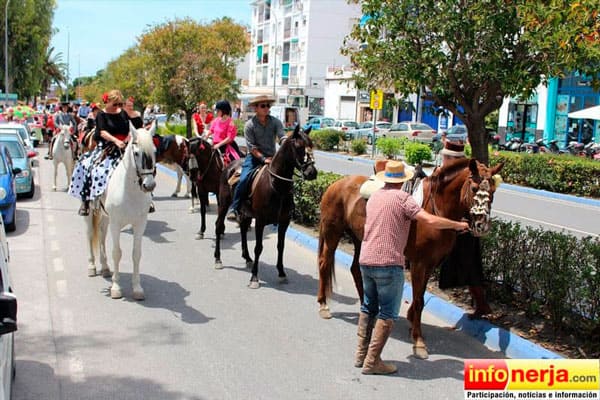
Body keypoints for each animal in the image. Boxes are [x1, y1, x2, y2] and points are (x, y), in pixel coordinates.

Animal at [86, 122, 158, 300]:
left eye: (155, 151)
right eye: (137, 153)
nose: (149, 185)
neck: (130, 191)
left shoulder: (140, 224)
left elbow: (136, 254)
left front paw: (137, 288)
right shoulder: (116, 224)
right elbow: (117, 253)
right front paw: (116, 287)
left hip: (106, 217)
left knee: (102, 235)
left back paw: (105, 268)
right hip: (90, 213)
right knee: (90, 234)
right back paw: (92, 266)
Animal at [213, 125, 316, 288]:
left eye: (312, 145)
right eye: (299, 147)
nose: (312, 172)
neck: (277, 185)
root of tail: (229, 166)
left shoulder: (284, 222)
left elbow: (281, 246)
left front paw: (281, 273)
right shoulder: (260, 221)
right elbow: (258, 247)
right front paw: (254, 277)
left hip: (245, 212)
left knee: (243, 229)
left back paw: (247, 258)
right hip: (223, 204)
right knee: (218, 226)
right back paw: (218, 259)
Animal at [316, 157, 504, 360]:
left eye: (493, 191)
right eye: (474, 188)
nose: (481, 225)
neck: (435, 209)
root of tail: (337, 184)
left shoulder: (430, 263)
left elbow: (419, 296)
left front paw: (411, 322)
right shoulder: (419, 263)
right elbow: (419, 300)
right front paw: (418, 340)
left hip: (361, 240)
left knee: (356, 270)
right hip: (333, 233)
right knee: (324, 263)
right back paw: (323, 305)